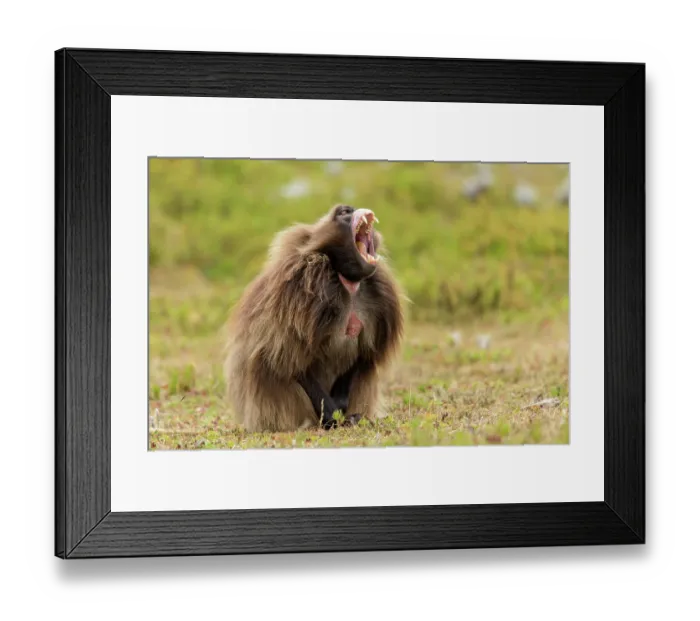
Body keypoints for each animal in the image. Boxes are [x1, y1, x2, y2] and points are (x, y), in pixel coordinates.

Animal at [223, 204, 404, 433]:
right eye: (342, 213)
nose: (349, 207)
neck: (347, 283)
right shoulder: (299, 293)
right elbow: (289, 359)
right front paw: (333, 417)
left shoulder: (380, 303)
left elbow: (363, 355)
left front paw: (343, 413)